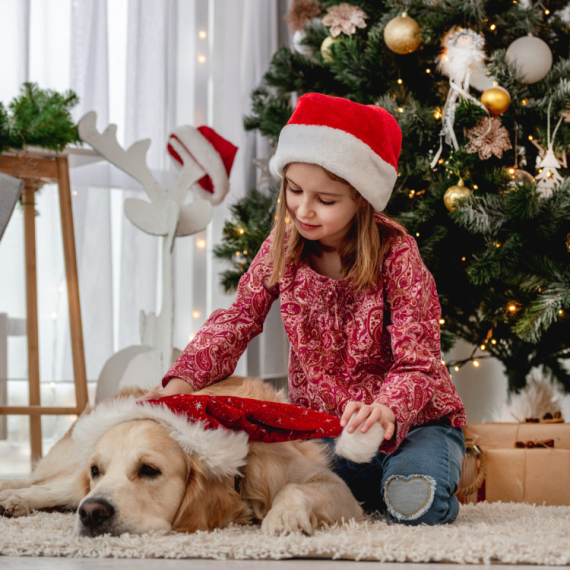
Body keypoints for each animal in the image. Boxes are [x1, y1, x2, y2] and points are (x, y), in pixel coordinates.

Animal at [0, 378, 364, 532]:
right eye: (96, 470)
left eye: (149, 470)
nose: (91, 514)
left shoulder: (337, 488)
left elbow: (294, 487)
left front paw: (284, 516)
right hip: (70, 480)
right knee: (45, 488)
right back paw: (14, 500)